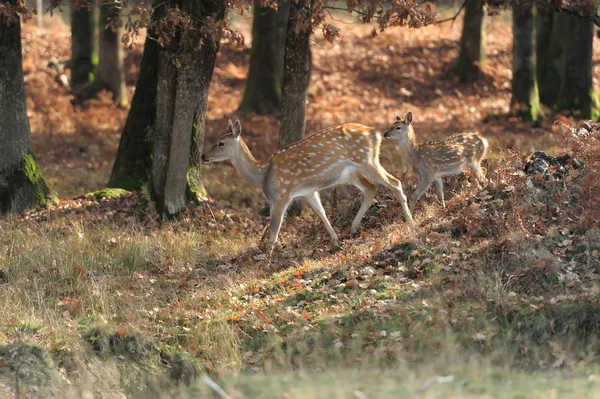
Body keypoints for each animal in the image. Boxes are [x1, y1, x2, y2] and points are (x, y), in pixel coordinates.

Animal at [202, 119, 412, 260]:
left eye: (221, 143)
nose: (203, 156)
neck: (262, 175)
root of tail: (375, 134)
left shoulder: (281, 196)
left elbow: (273, 231)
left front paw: (266, 259)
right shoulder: (308, 192)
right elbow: (321, 212)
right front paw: (335, 241)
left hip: (366, 160)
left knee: (394, 182)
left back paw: (409, 220)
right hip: (350, 172)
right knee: (370, 189)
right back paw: (353, 228)